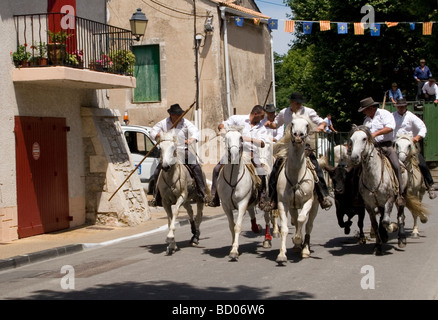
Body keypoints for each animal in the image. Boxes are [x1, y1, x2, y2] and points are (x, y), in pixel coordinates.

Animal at [218, 125, 266, 260]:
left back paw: (267, 240)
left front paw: (234, 251)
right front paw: (232, 246)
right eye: (226, 138)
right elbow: (231, 226)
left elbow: (237, 226)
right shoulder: (225, 205)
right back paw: (255, 228)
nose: (234, 154)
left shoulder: (242, 203)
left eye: (240, 138)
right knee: (252, 212)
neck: (233, 179)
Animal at [274, 114, 318, 264]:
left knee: (308, 225)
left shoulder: (308, 201)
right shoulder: (283, 203)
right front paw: (282, 254)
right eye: (292, 123)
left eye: (307, 125)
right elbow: (285, 228)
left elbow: (302, 219)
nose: (298, 135)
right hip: (293, 206)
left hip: (315, 206)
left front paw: (298, 240)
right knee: (295, 219)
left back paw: (305, 249)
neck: (295, 175)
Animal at [350, 125, 408, 255]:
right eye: (351, 139)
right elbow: (375, 224)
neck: (374, 177)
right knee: (382, 216)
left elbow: (386, 221)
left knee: (400, 216)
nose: (354, 157)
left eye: (364, 139)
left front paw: (393, 227)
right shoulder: (369, 205)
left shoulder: (390, 199)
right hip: (379, 203)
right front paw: (378, 246)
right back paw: (384, 236)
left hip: (400, 198)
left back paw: (401, 239)